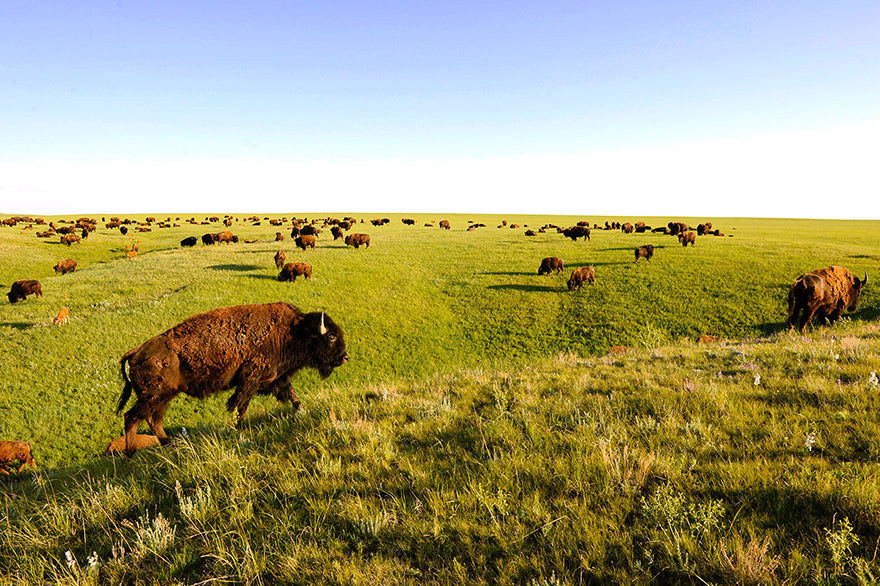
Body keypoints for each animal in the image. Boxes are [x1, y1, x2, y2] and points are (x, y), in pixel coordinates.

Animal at [116, 302, 348, 452]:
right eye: (331, 336)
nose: (345, 357)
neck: (293, 331)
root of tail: (136, 352)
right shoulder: (250, 381)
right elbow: (241, 406)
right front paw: (239, 430)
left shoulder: (278, 379)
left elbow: (293, 397)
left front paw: (302, 412)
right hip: (153, 396)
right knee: (132, 418)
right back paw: (131, 454)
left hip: (163, 397)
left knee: (153, 420)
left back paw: (169, 444)